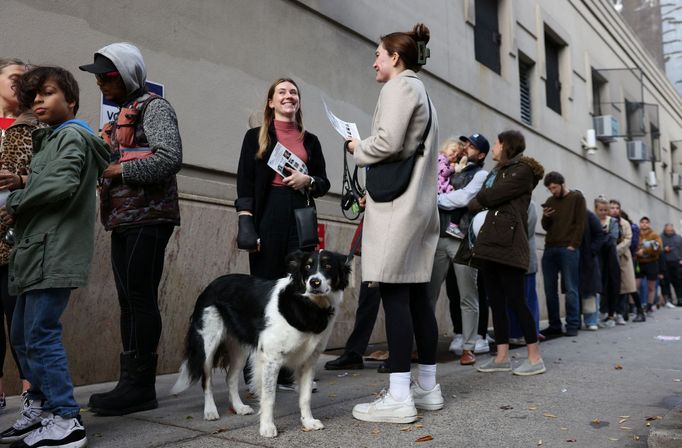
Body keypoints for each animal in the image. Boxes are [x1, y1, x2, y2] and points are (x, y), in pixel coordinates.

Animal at [170, 250, 350, 440]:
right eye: (308, 267)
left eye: (328, 266)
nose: (314, 282)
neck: (308, 305)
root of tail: (211, 285)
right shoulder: (272, 359)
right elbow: (269, 397)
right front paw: (267, 427)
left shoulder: (308, 361)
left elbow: (305, 396)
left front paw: (308, 422)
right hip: (208, 344)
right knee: (207, 379)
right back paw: (210, 411)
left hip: (239, 350)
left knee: (230, 378)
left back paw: (239, 407)